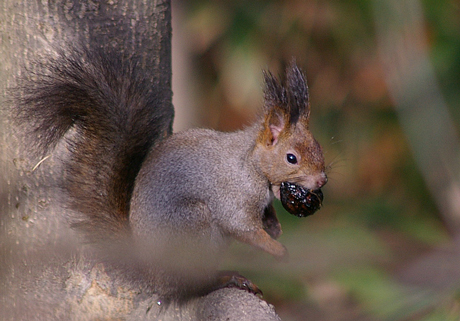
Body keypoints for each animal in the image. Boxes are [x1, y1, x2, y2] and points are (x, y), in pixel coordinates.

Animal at [13, 46, 328, 302]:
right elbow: (241, 226)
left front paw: (274, 226)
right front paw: (277, 249)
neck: (251, 163)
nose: (322, 180)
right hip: (193, 227)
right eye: (291, 158)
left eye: (319, 147)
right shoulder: (232, 193)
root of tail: (152, 270)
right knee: (192, 285)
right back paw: (225, 278)